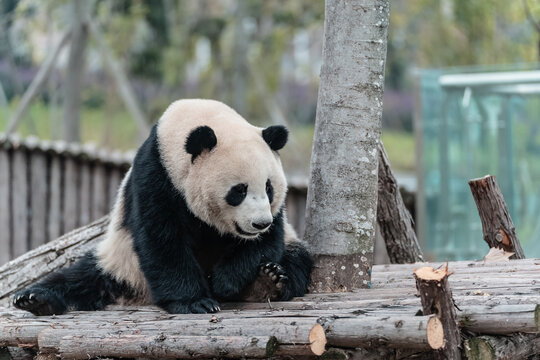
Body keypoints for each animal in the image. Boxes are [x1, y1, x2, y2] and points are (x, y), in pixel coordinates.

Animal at [12, 99, 314, 316]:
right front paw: (196, 302)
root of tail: (140, 295)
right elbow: (162, 239)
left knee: (297, 261)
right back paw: (34, 299)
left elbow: (266, 243)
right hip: (121, 261)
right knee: (81, 279)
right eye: (238, 190)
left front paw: (224, 281)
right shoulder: (156, 175)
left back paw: (269, 280)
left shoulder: (275, 217)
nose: (259, 223)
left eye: (269, 188)